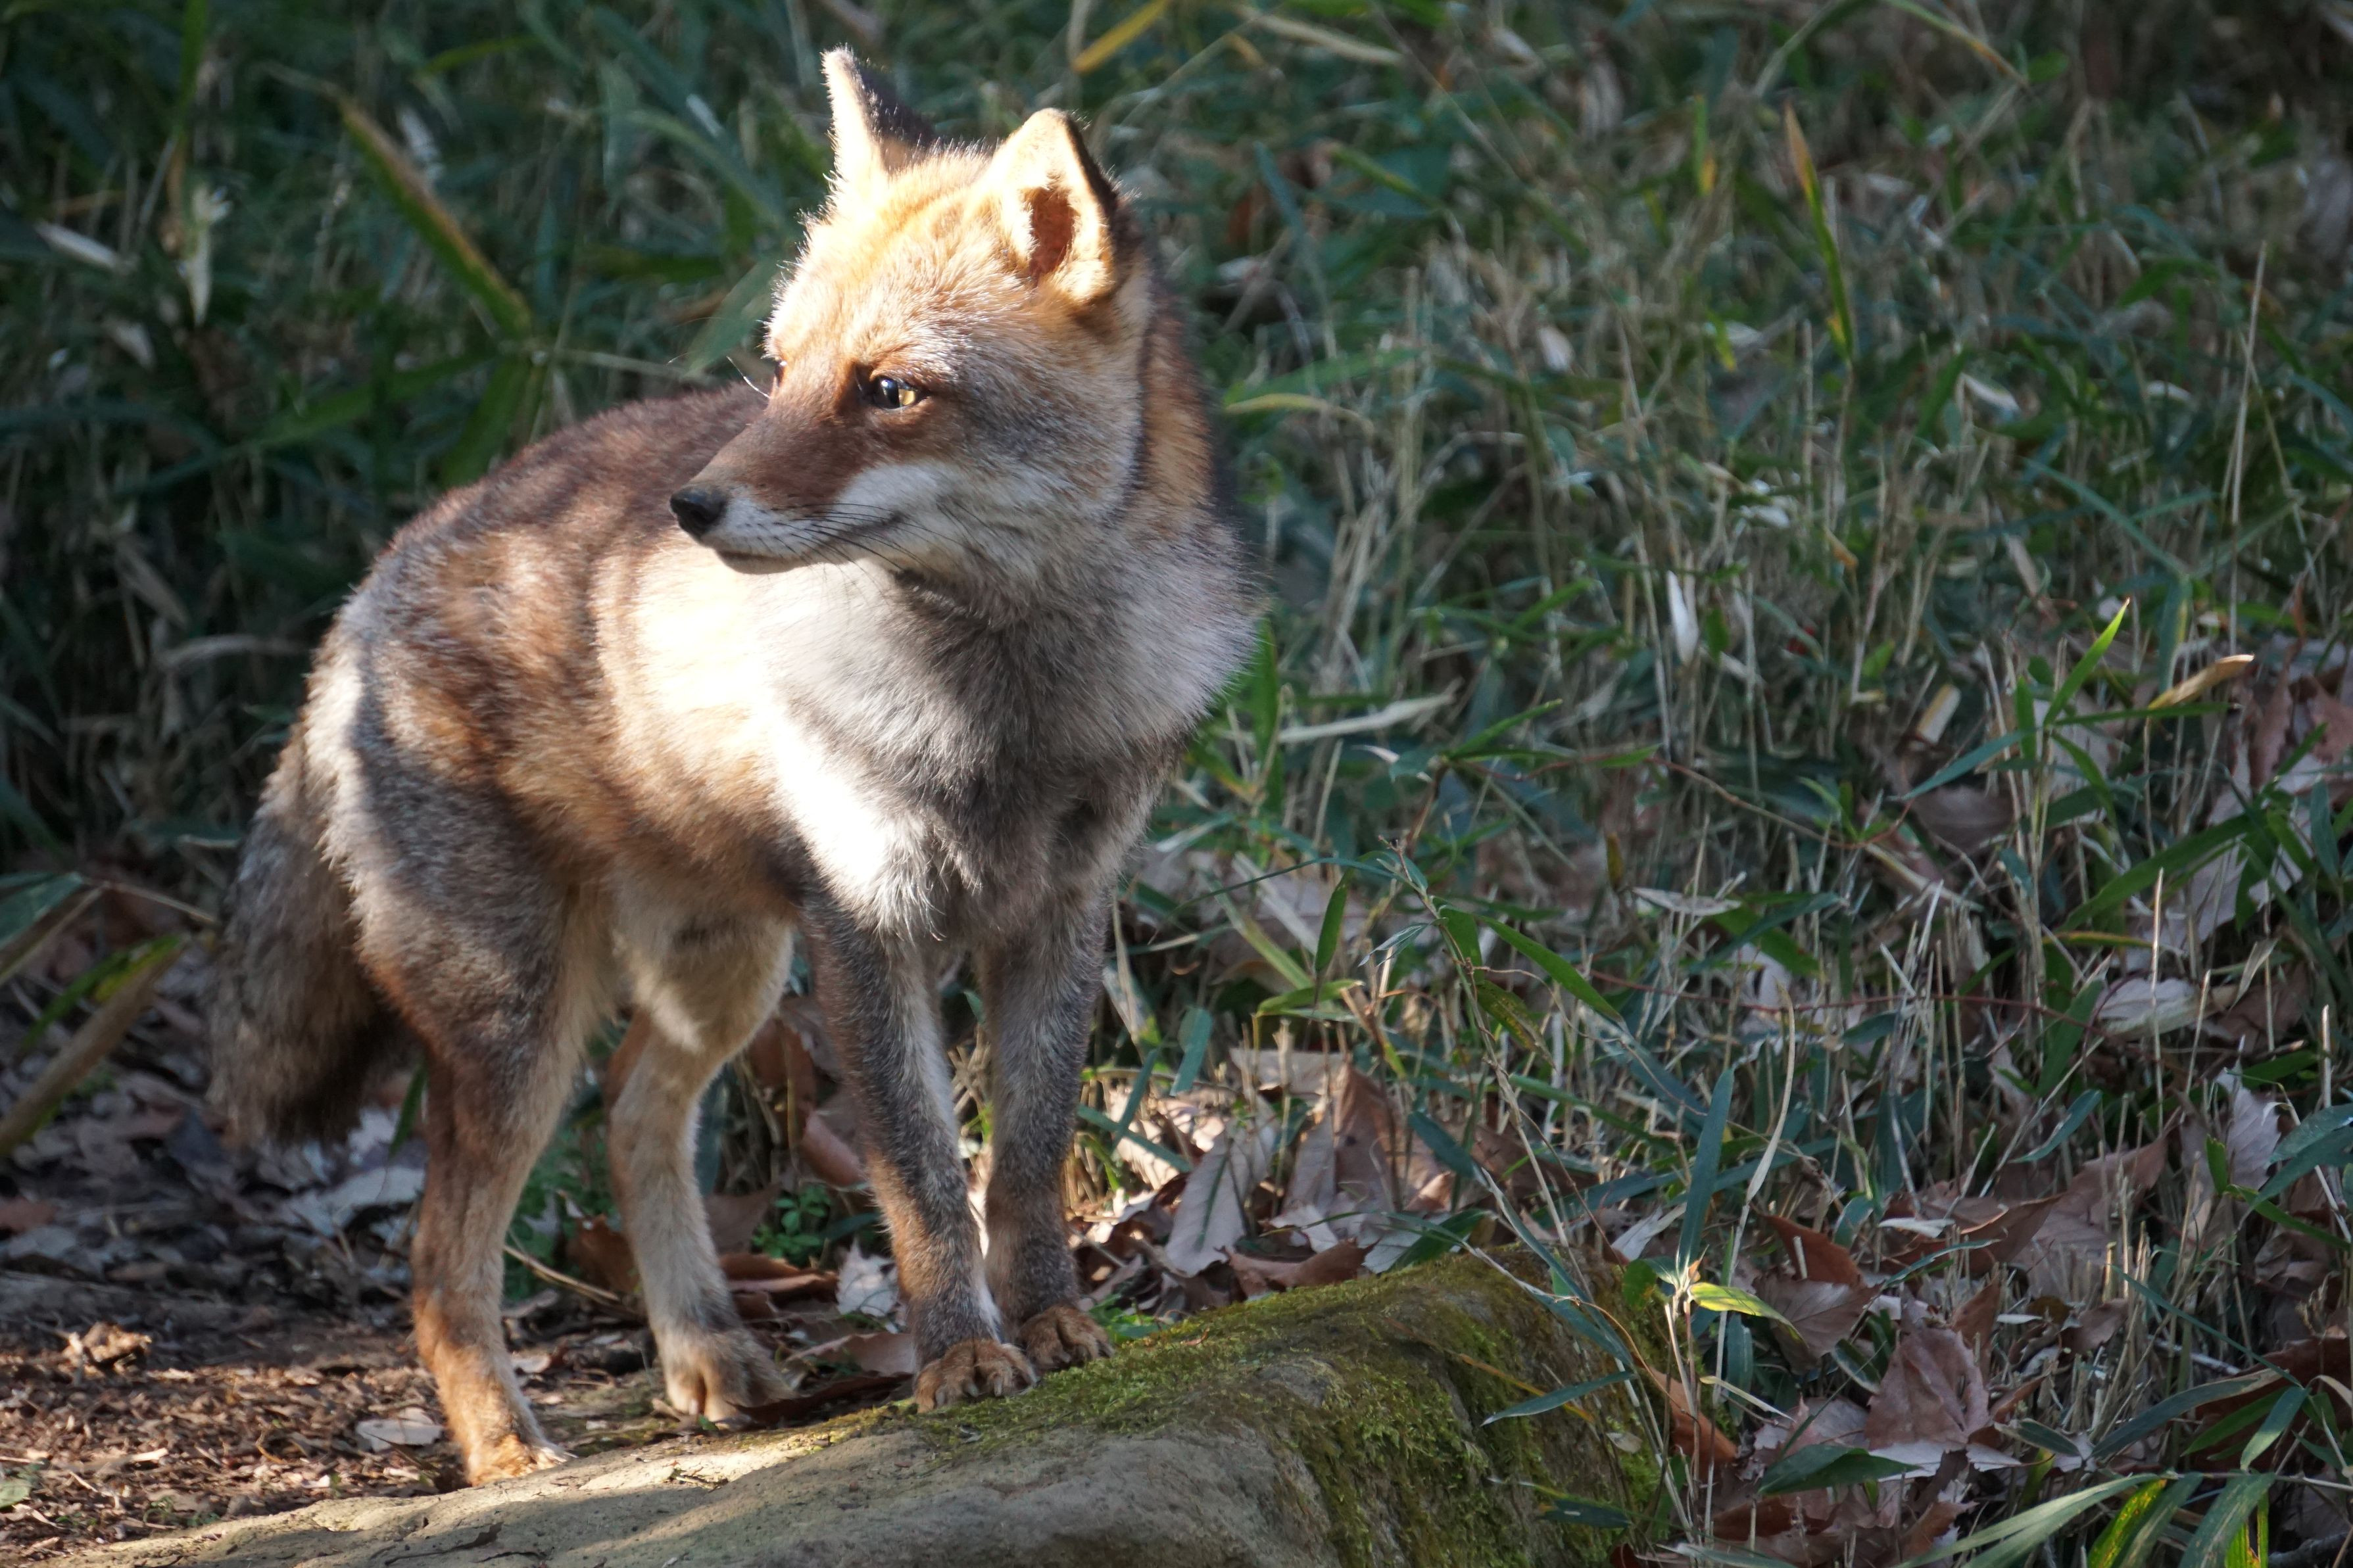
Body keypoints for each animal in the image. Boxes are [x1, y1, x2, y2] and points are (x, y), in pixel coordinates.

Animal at [207, 51, 1256, 1485]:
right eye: (778, 366)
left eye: (888, 390)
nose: (692, 509)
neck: (1006, 715)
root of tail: (366, 592)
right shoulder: (866, 921)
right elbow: (924, 1181)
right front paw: (958, 1357)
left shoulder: (1058, 912)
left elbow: (1027, 1162)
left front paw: (1049, 1321)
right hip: (518, 1026)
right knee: (438, 1258)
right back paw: (504, 1448)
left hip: (724, 977)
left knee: (632, 1119)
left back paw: (704, 1350)